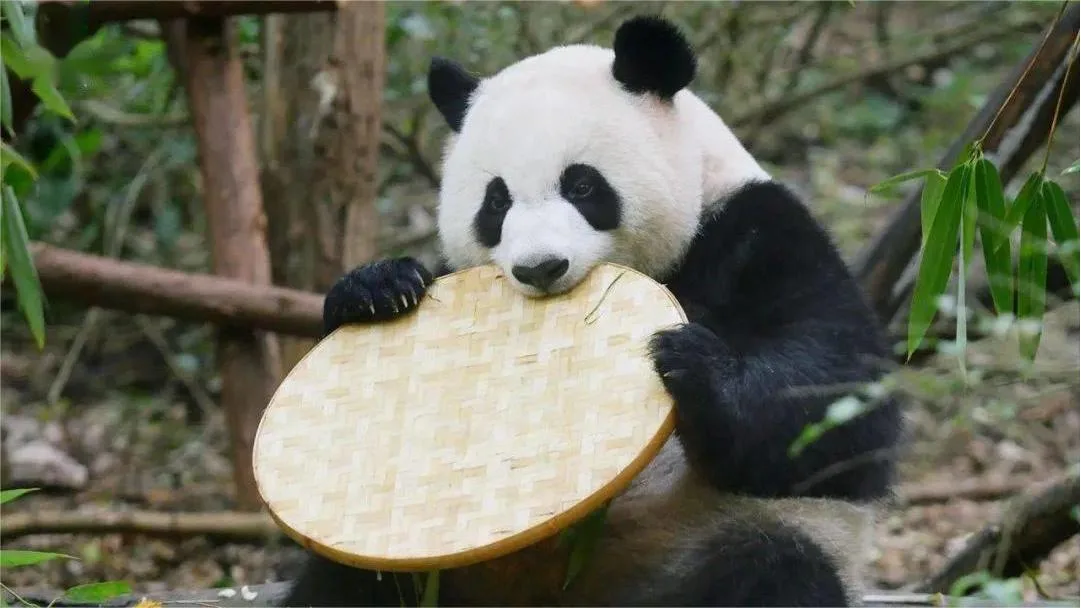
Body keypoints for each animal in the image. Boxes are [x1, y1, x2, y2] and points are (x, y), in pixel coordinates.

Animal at [281, 15, 903, 608]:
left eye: (581, 185)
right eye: (496, 201)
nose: (539, 267)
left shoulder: (755, 229)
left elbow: (841, 405)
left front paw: (694, 364)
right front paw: (378, 288)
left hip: (722, 540)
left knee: (773, 571)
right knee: (351, 582)